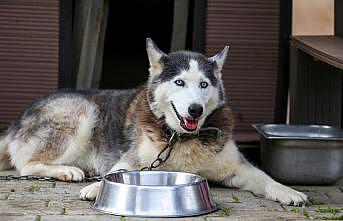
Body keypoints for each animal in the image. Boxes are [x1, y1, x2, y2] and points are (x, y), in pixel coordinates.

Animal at [0, 38, 308, 205]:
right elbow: (114, 174)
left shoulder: (237, 168)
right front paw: (95, 188)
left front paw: (289, 191)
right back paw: (68, 171)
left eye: (204, 84)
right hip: (83, 112)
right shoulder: (133, 159)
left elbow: (264, 177)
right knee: (26, 166)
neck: (181, 137)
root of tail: (18, 119)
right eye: (179, 82)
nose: (195, 110)